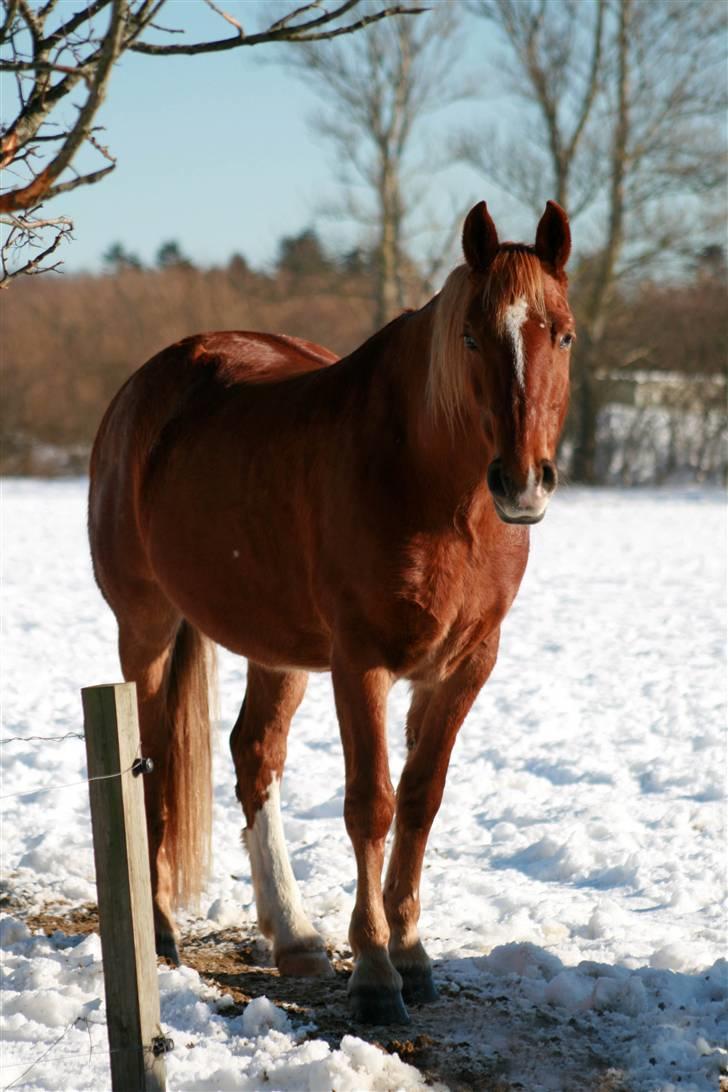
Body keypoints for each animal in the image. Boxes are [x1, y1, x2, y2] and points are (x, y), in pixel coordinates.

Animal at [86, 203, 576, 1022]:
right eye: (472, 336)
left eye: (562, 334)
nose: (523, 483)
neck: (435, 491)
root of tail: (142, 390)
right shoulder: (361, 662)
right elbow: (371, 804)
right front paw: (376, 973)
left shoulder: (465, 667)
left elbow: (421, 800)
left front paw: (411, 953)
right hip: (145, 626)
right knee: (149, 764)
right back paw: (157, 933)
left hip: (277, 649)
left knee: (255, 756)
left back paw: (294, 935)